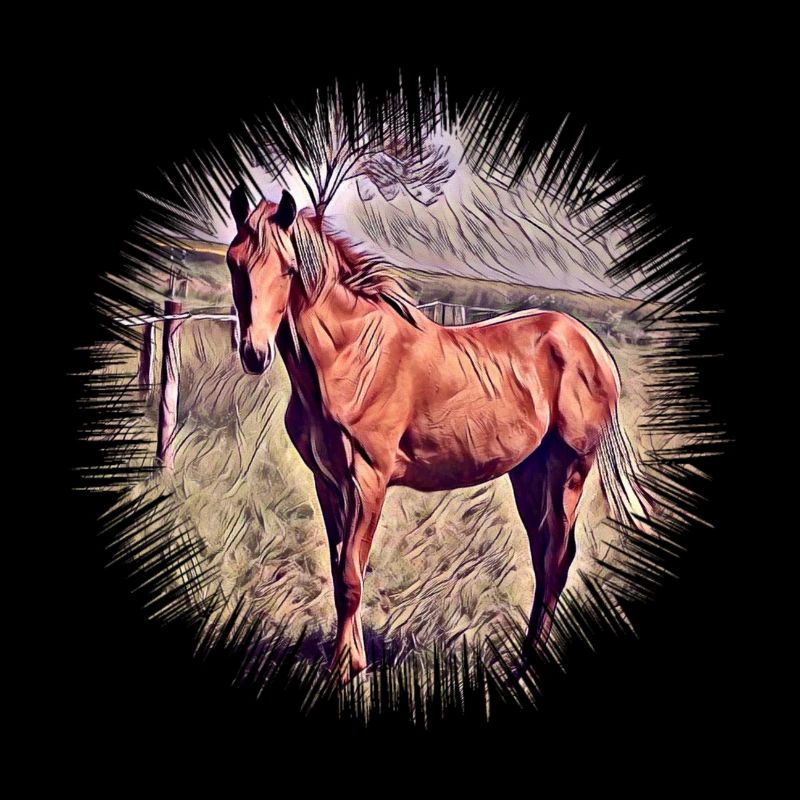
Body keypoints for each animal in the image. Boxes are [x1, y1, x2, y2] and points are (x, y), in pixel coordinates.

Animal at [226, 187, 651, 682]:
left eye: (288, 268)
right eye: (235, 262)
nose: (254, 353)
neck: (353, 357)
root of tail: (589, 343)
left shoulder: (368, 481)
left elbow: (352, 577)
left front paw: (342, 672)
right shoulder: (328, 482)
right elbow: (339, 569)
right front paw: (353, 660)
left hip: (570, 467)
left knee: (557, 559)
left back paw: (529, 668)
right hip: (529, 471)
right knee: (544, 555)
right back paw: (521, 662)